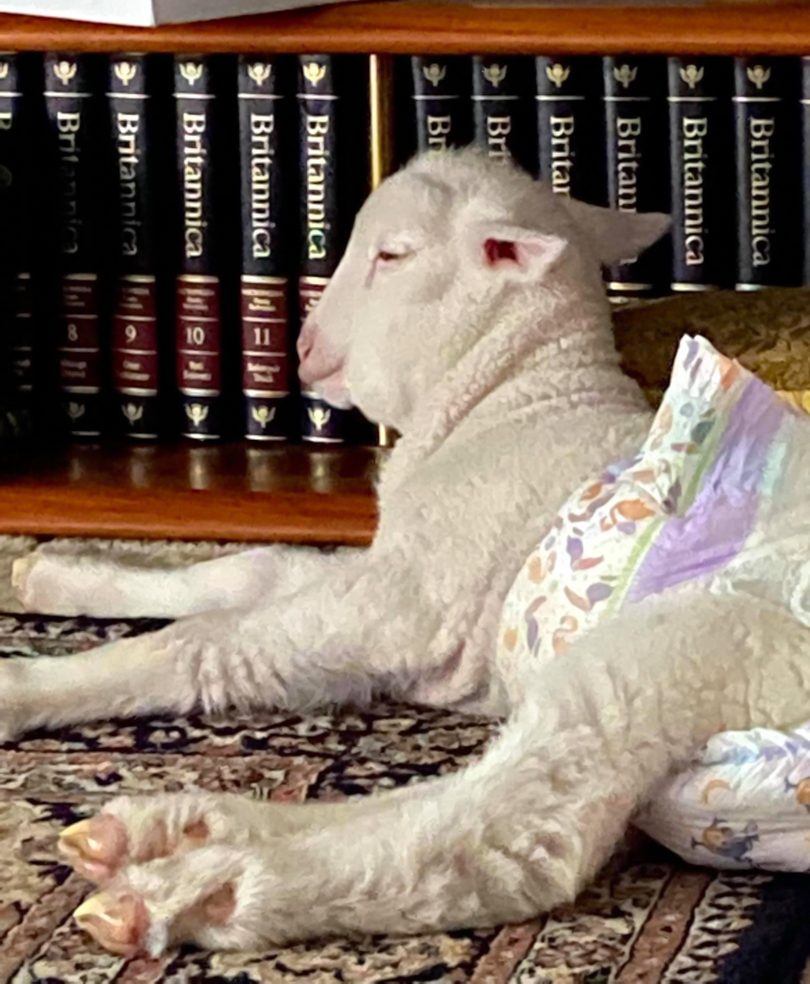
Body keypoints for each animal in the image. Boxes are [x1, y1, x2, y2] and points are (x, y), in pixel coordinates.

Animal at [4, 150, 808, 956]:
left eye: (392, 255)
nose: (303, 351)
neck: (512, 400)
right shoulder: (397, 567)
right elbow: (248, 568)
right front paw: (53, 576)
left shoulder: (411, 604)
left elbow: (203, 649)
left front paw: (25, 686)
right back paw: (181, 826)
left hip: (697, 646)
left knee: (504, 835)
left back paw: (200, 891)